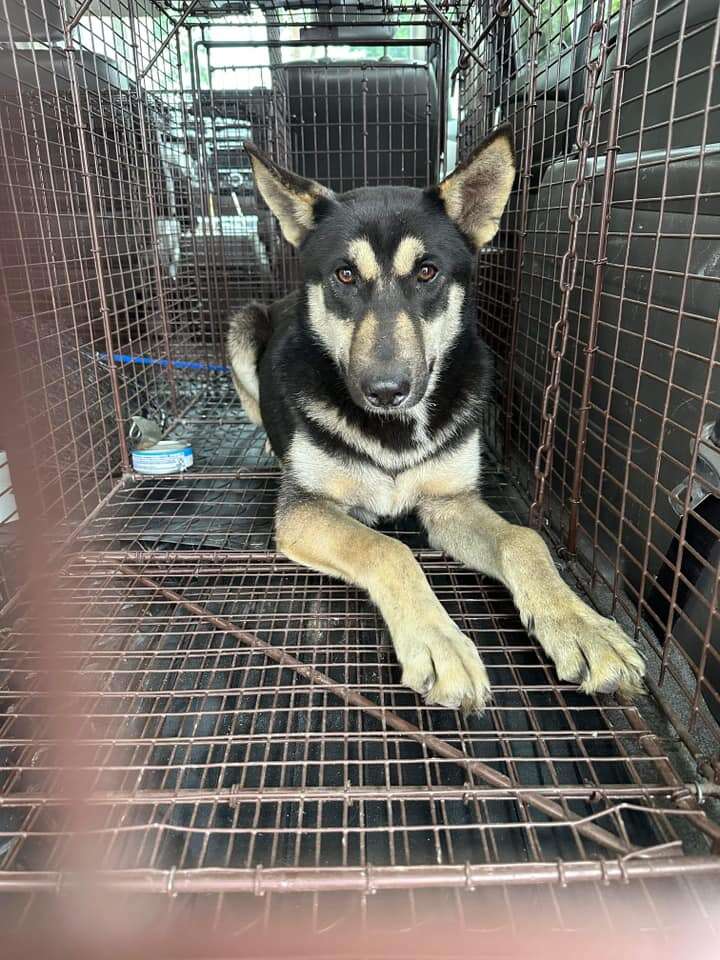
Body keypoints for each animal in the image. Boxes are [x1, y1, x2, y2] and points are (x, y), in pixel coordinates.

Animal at [228, 127, 644, 712]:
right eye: (345, 276)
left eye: (427, 273)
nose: (385, 391)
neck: (394, 433)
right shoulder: (303, 510)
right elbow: (389, 548)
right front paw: (438, 642)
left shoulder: (450, 504)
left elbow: (524, 540)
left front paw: (580, 626)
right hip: (243, 325)